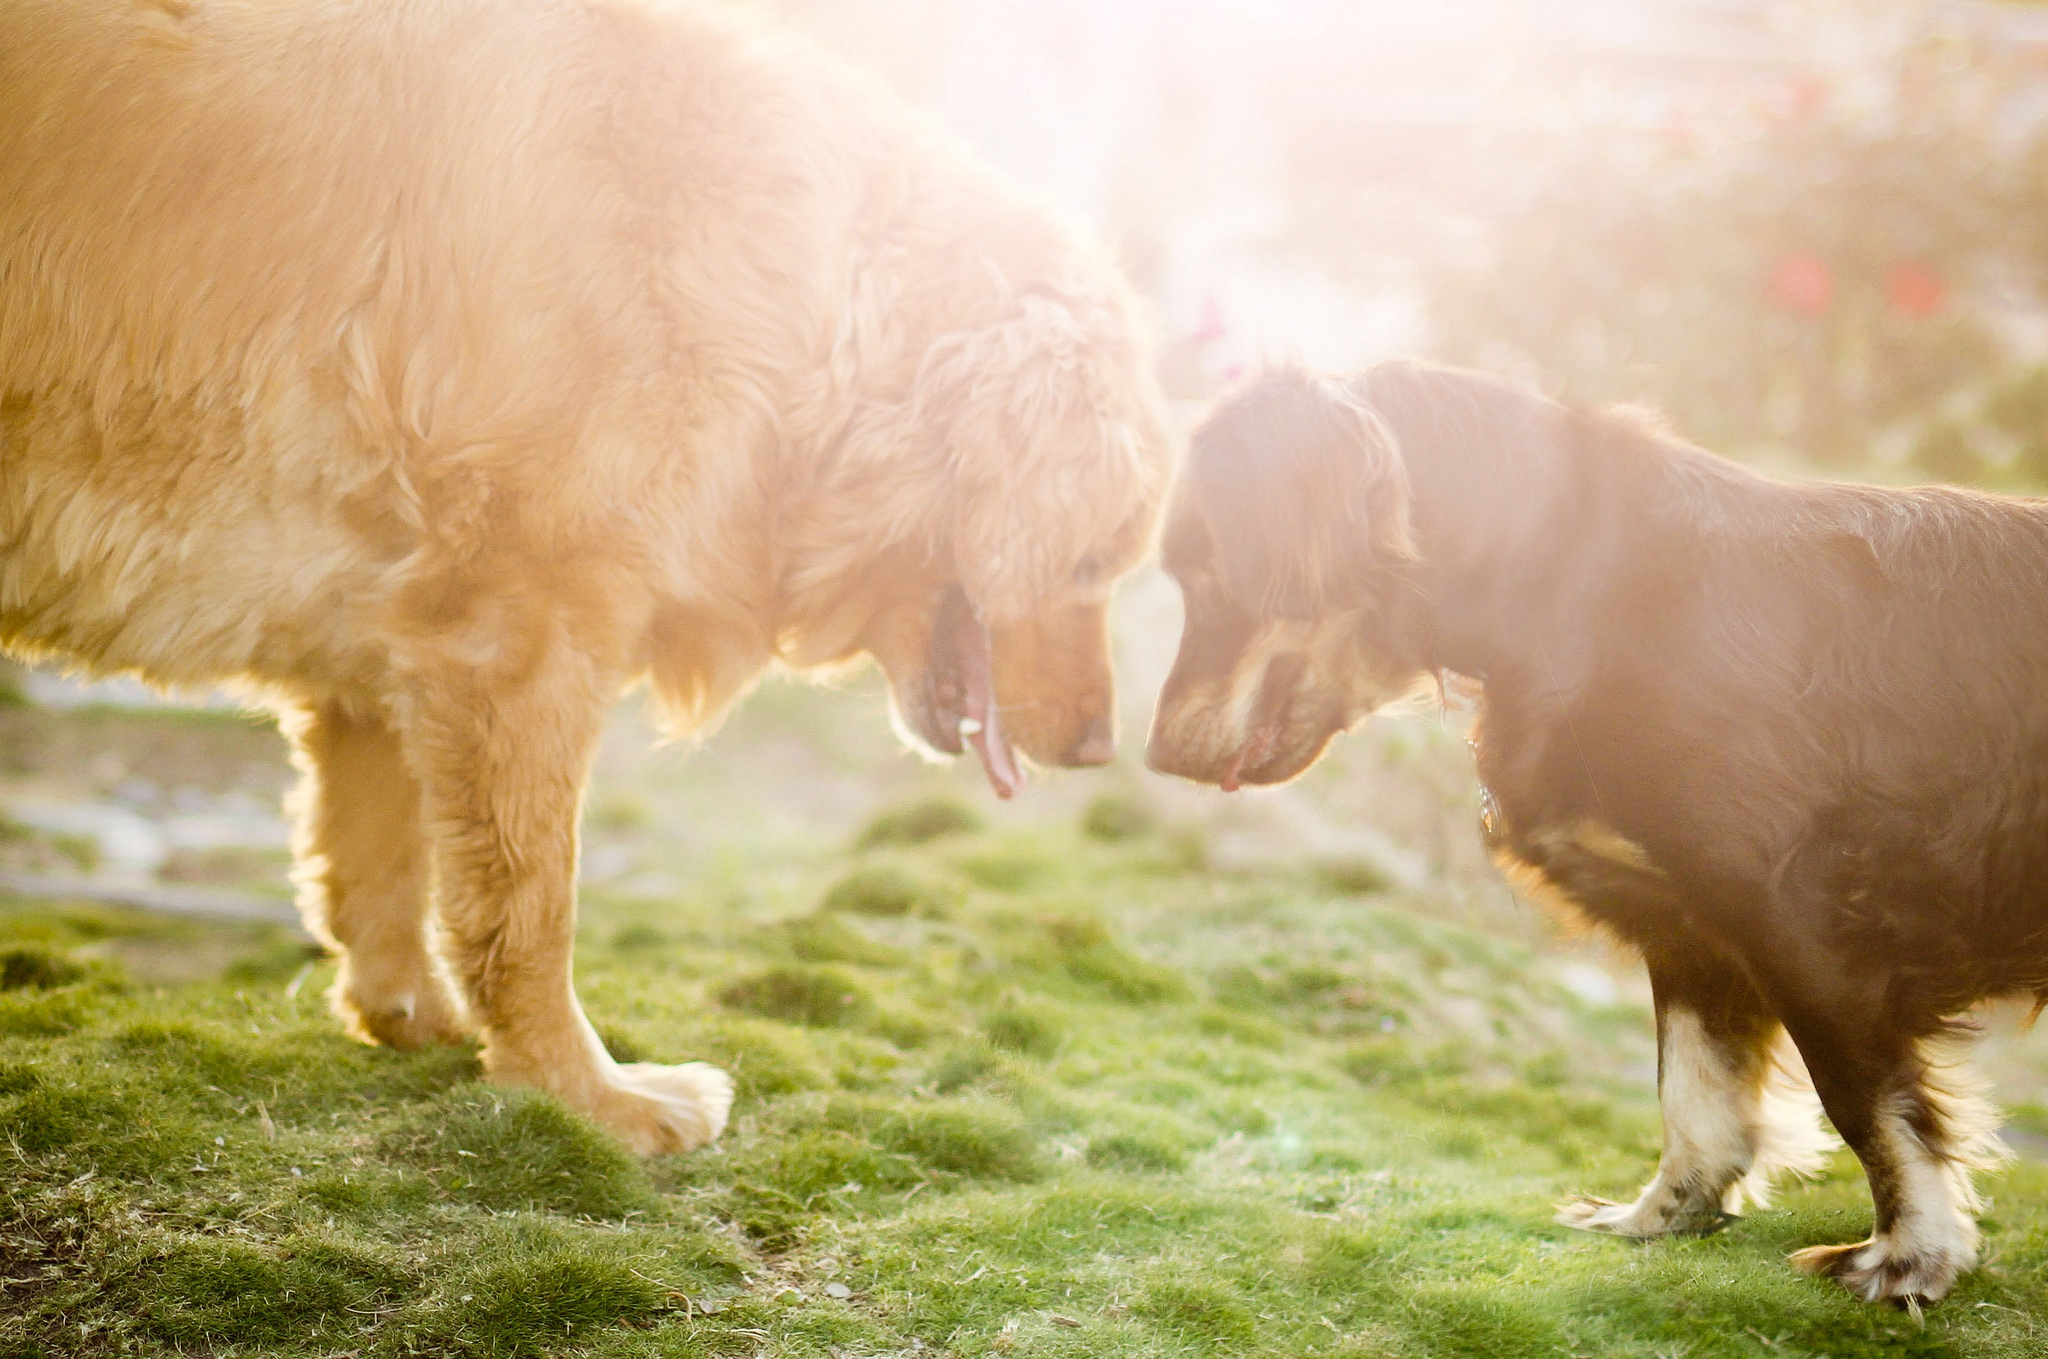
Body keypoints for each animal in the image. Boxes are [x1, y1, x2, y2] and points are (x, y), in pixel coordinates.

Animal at [4, 0, 1171, 1154]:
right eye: (1094, 560)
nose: (1102, 748)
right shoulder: (521, 631)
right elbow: (532, 902)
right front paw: (586, 1092)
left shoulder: (386, 648)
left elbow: (384, 867)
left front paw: (413, 1017)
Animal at [1146, 360, 2039, 1309]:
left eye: (1208, 572)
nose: (1156, 751)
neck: (1578, 591)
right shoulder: (1688, 921)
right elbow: (1692, 1089)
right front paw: (1663, 1213)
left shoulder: (1800, 920)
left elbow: (1865, 1100)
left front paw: (1907, 1254)